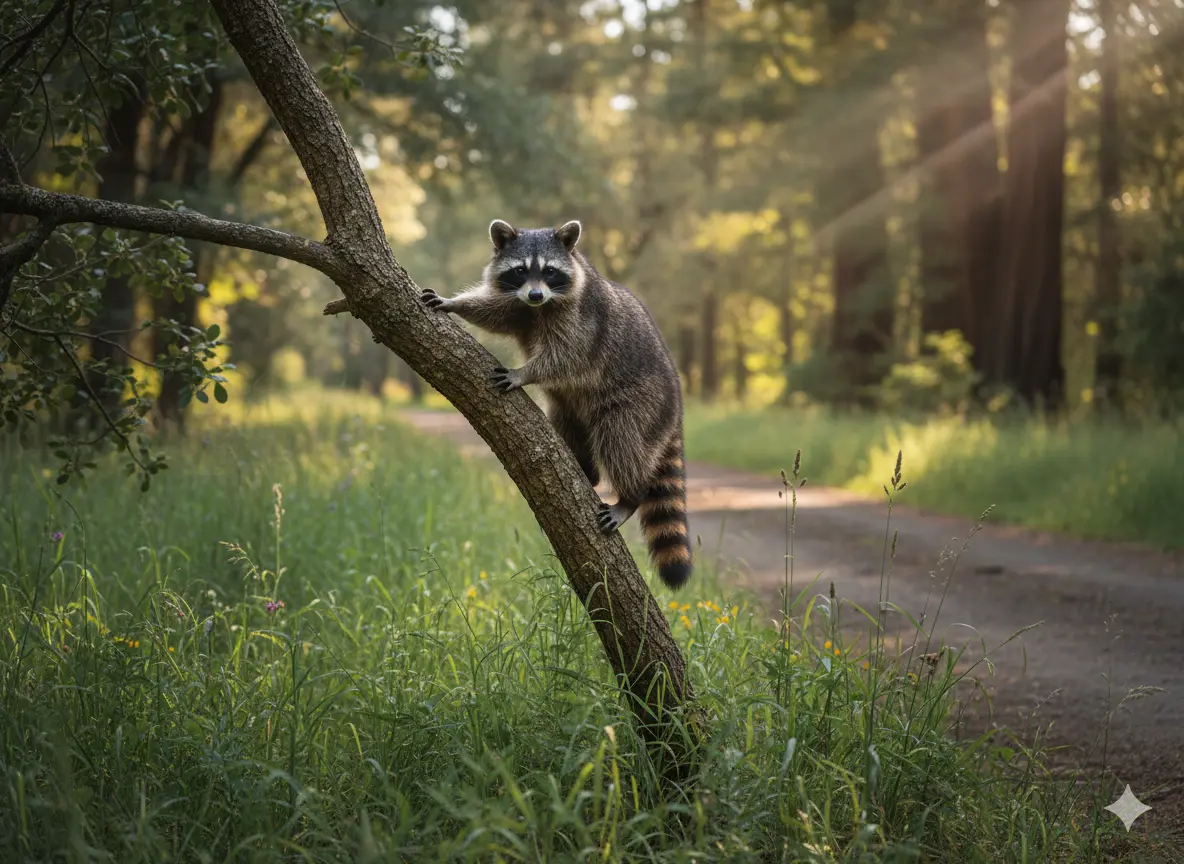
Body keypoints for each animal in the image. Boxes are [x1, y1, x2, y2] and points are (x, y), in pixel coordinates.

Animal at [420, 219, 692, 589]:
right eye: (521, 271)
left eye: (549, 272)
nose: (536, 295)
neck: (541, 305)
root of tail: (676, 407)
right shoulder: (519, 304)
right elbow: (497, 312)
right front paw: (455, 303)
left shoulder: (582, 319)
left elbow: (565, 356)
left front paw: (525, 372)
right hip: (571, 407)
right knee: (570, 424)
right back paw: (587, 471)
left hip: (643, 401)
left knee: (619, 439)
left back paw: (630, 496)